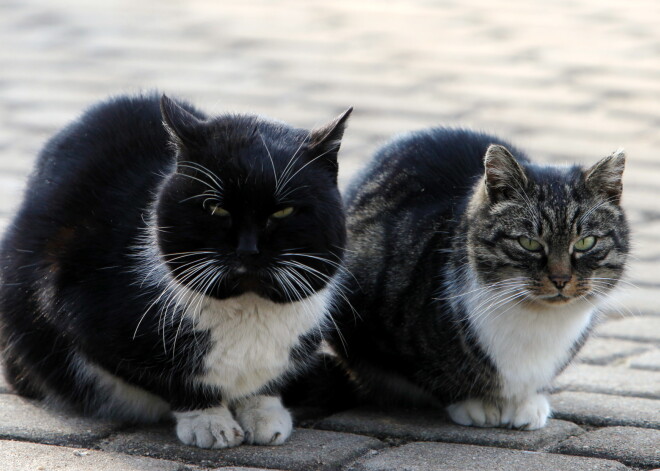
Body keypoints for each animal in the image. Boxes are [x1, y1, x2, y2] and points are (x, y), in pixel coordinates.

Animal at [0, 93, 354, 450]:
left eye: (283, 211)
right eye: (216, 208)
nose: (247, 249)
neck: (247, 305)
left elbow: (265, 383)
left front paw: (264, 413)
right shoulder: (74, 304)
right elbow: (172, 378)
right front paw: (209, 422)